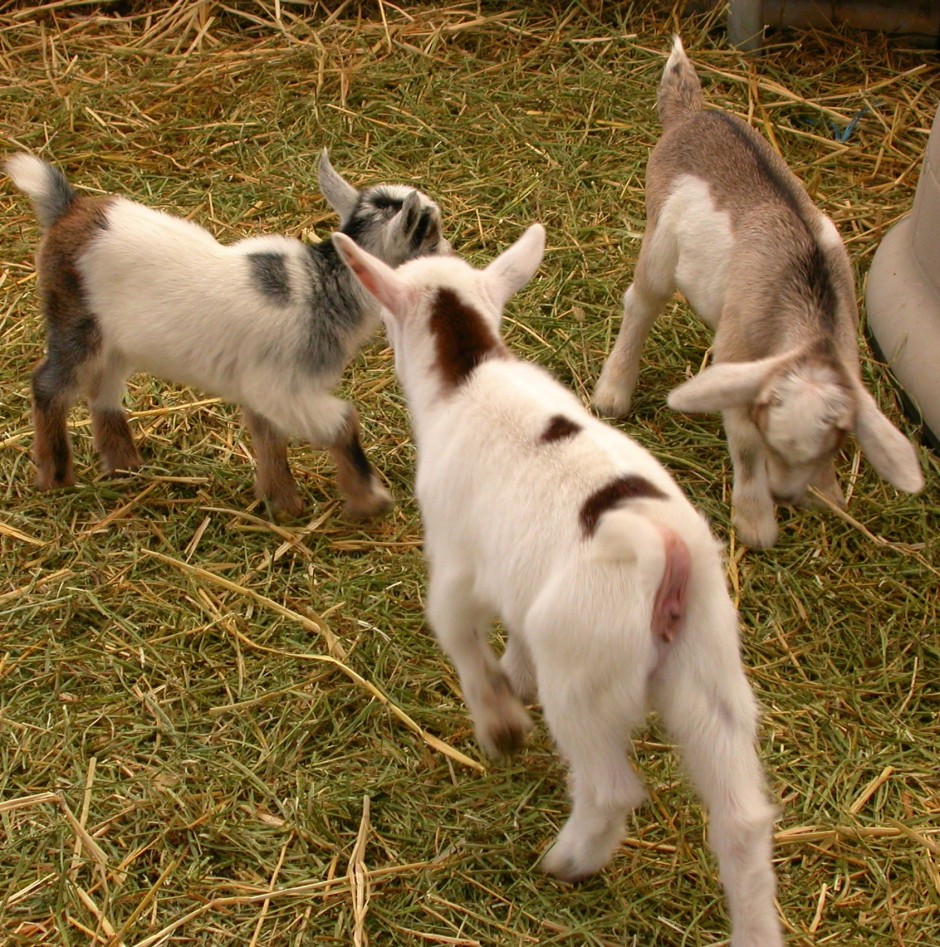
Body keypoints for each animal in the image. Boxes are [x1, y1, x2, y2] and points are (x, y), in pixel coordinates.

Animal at [6, 150, 448, 519]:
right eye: (429, 233)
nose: (449, 254)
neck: (324, 286)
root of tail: (67, 209)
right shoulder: (283, 386)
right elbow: (342, 422)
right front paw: (370, 501)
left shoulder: (265, 390)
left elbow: (268, 438)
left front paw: (283, 504)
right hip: (74, 321)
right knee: (49, 385)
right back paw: (56, 477)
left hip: (113, 339)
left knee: (103, 389)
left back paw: (125, 466)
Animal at [333, 223, 783, 947]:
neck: (469, 373)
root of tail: (664, 550)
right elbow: (509, 641)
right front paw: (512, 682)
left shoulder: (455, 562)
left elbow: (459, 637)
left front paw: (501, 724)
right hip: (708, 668)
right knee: (741, 818)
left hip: (583, 675)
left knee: (609, 789)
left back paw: (567, 861)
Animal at [594, 37, 923, 549]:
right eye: (772, 434)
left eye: (833, 444)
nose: (786, 495)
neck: (807, 296)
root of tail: (693, 115)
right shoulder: (738, 354)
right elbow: (745, 444)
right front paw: (756, 522)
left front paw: (828, 496)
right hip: (660, 239)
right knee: (642, 302)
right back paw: (613, 391)